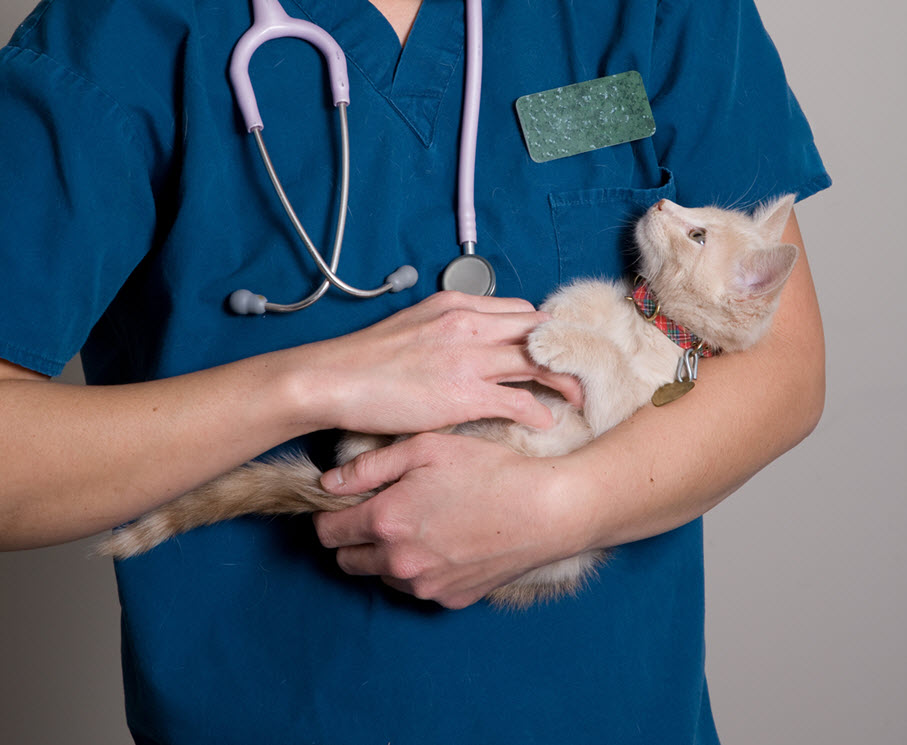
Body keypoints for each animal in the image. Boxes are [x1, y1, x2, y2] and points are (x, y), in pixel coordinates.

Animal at [97, 195, 800, 608]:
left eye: (698, 232)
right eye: (695, 207)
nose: (659, 197)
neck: (655, 325)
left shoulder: (618, 411)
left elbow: (601, 372)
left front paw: (553, 341)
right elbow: (585, 297)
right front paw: (550, 314)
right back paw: (363, 438)